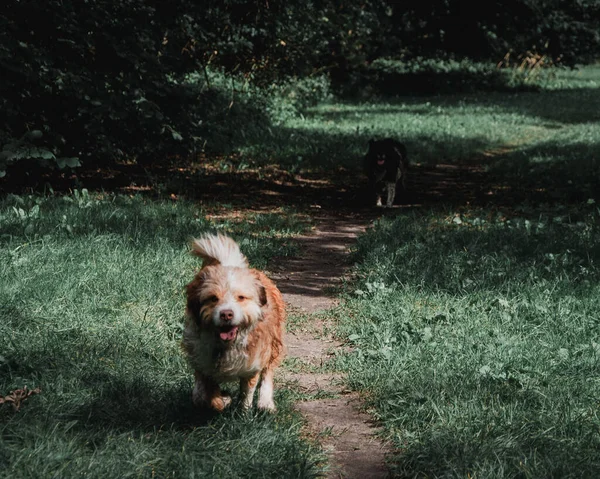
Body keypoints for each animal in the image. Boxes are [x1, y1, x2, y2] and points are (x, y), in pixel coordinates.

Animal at [180, 235, 286, 412]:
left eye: (241, 297)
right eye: (213, 298)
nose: (226, 314)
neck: (226, 347)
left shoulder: (252, 364)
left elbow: (247, 392)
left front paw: (243, 412)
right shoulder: (202, 363)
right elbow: (202, 396)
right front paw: (222, 399)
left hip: (273, 342)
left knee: (268, 371)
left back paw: (265, 403)